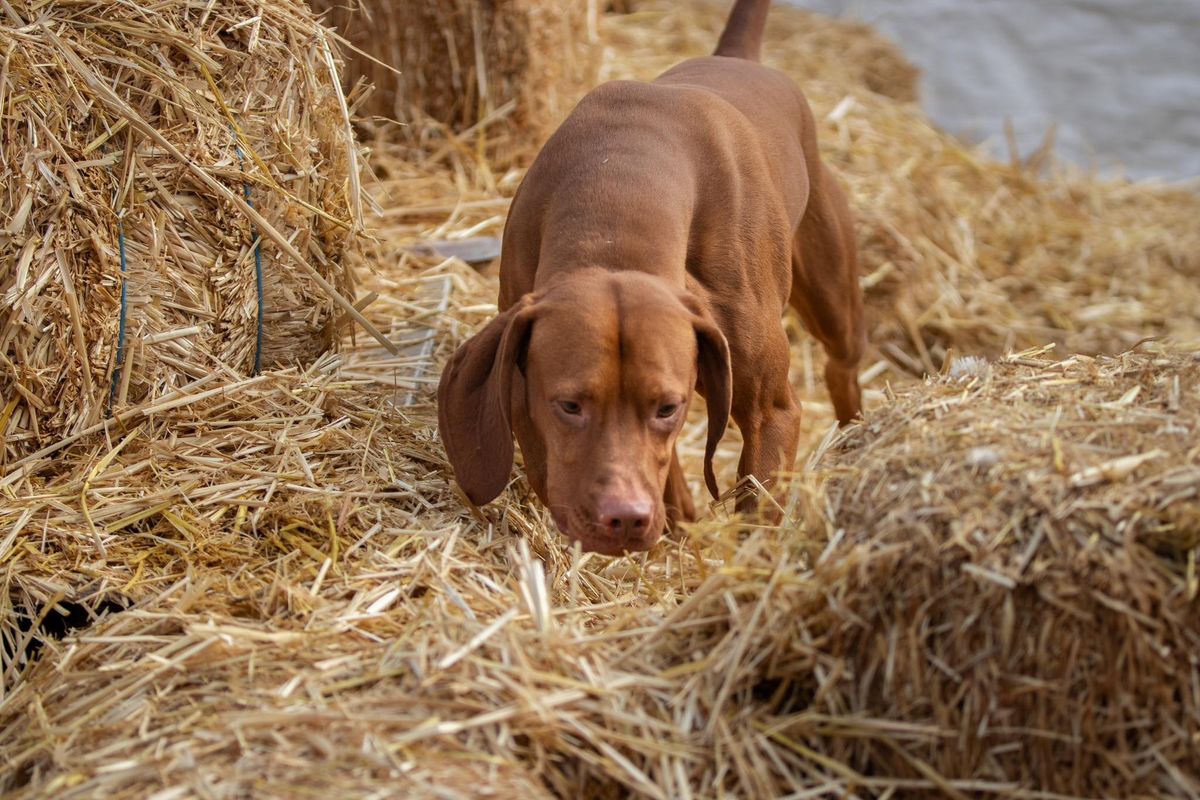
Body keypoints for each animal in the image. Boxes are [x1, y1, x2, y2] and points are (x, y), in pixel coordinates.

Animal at [439, 0, 864, 556]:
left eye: (667, 408)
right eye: (569, 405)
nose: (624, 518)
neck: (619, 188)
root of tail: (735, 57)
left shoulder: (772, 414)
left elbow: (758, 509)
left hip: (831, 299)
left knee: (842, 365)